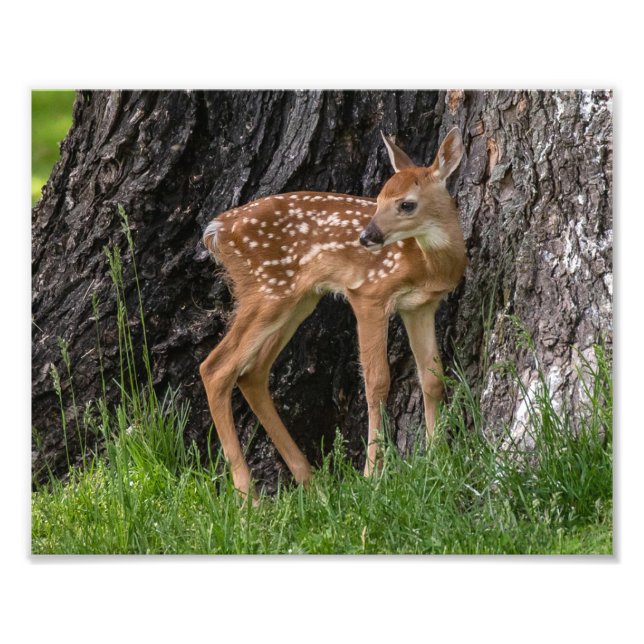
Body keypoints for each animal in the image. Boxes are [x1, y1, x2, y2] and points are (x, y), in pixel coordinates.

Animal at [200, 127, 467, 502]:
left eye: (406, 203)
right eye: (379, 198)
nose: (367, 236)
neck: (429, 265)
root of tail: (217, 230)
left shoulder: (420, 306)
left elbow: (432, 378)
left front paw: (438, 460)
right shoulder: (369, 293)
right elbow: (377, 381)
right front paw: (372, 477)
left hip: (298, 299)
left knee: (251, 373)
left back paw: (310, 483)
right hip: (267, 291)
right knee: (216, 368)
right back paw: (248, 496)